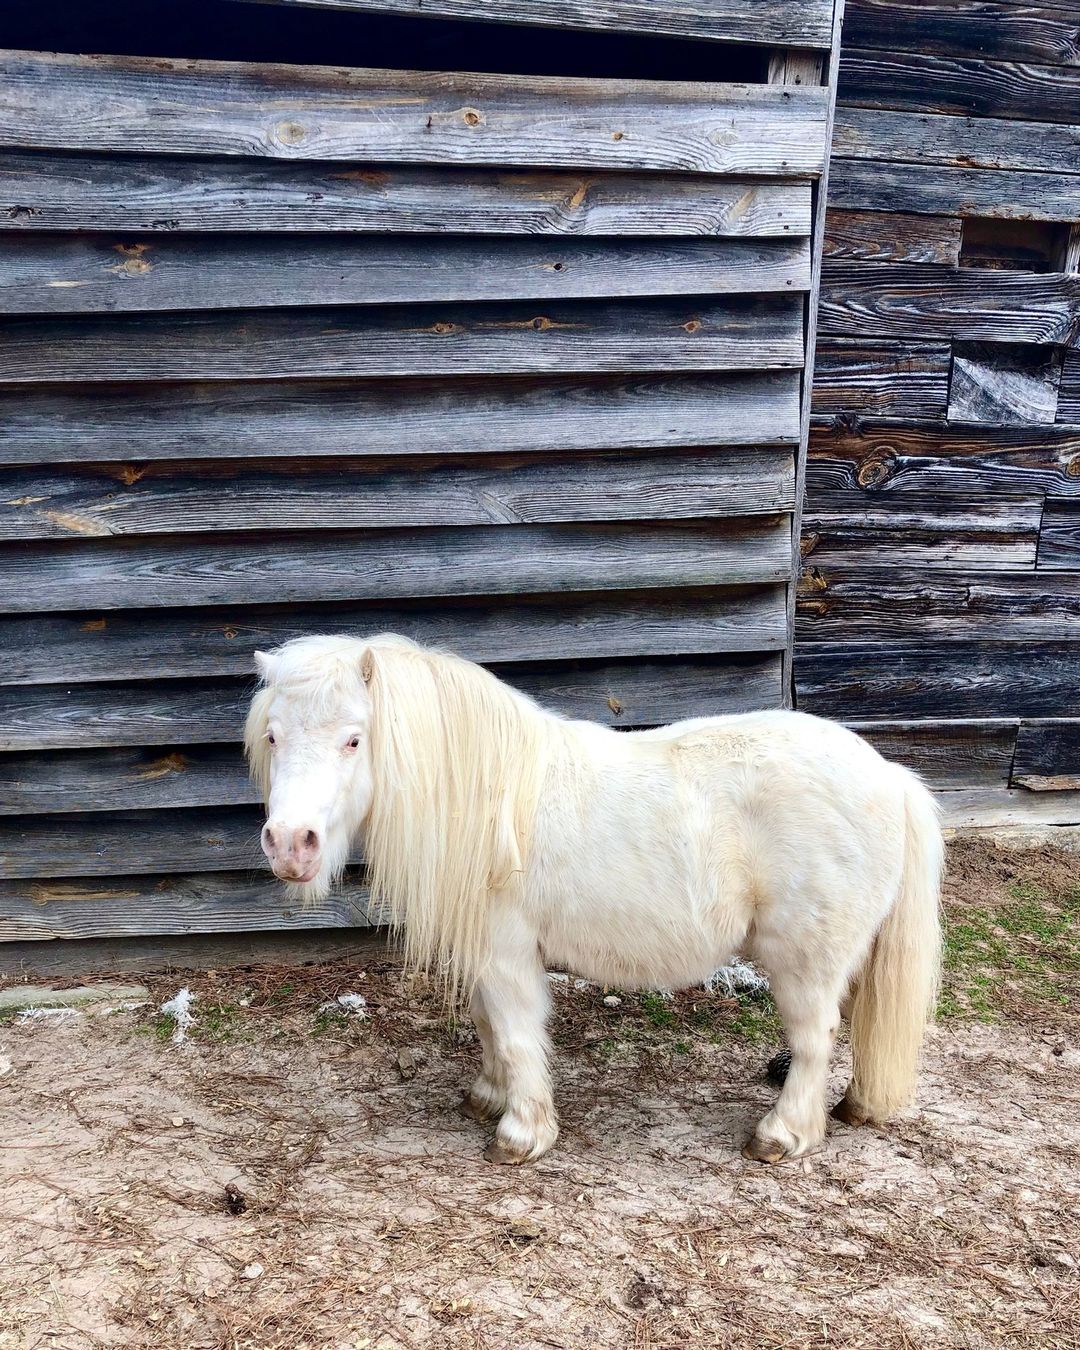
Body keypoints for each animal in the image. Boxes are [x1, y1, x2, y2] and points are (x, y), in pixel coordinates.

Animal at [244, 633, 942, 1166]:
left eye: (353, 739)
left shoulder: (507, 955)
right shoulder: (486, 956)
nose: (290, 844)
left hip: (804, 960)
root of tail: (892, 777)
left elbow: (517, 1034)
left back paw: (782, 1134)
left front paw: (522, 1134)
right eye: (273, 737)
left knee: (814, 1039)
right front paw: (488, 1096)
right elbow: (489, 1026)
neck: (489, 798)